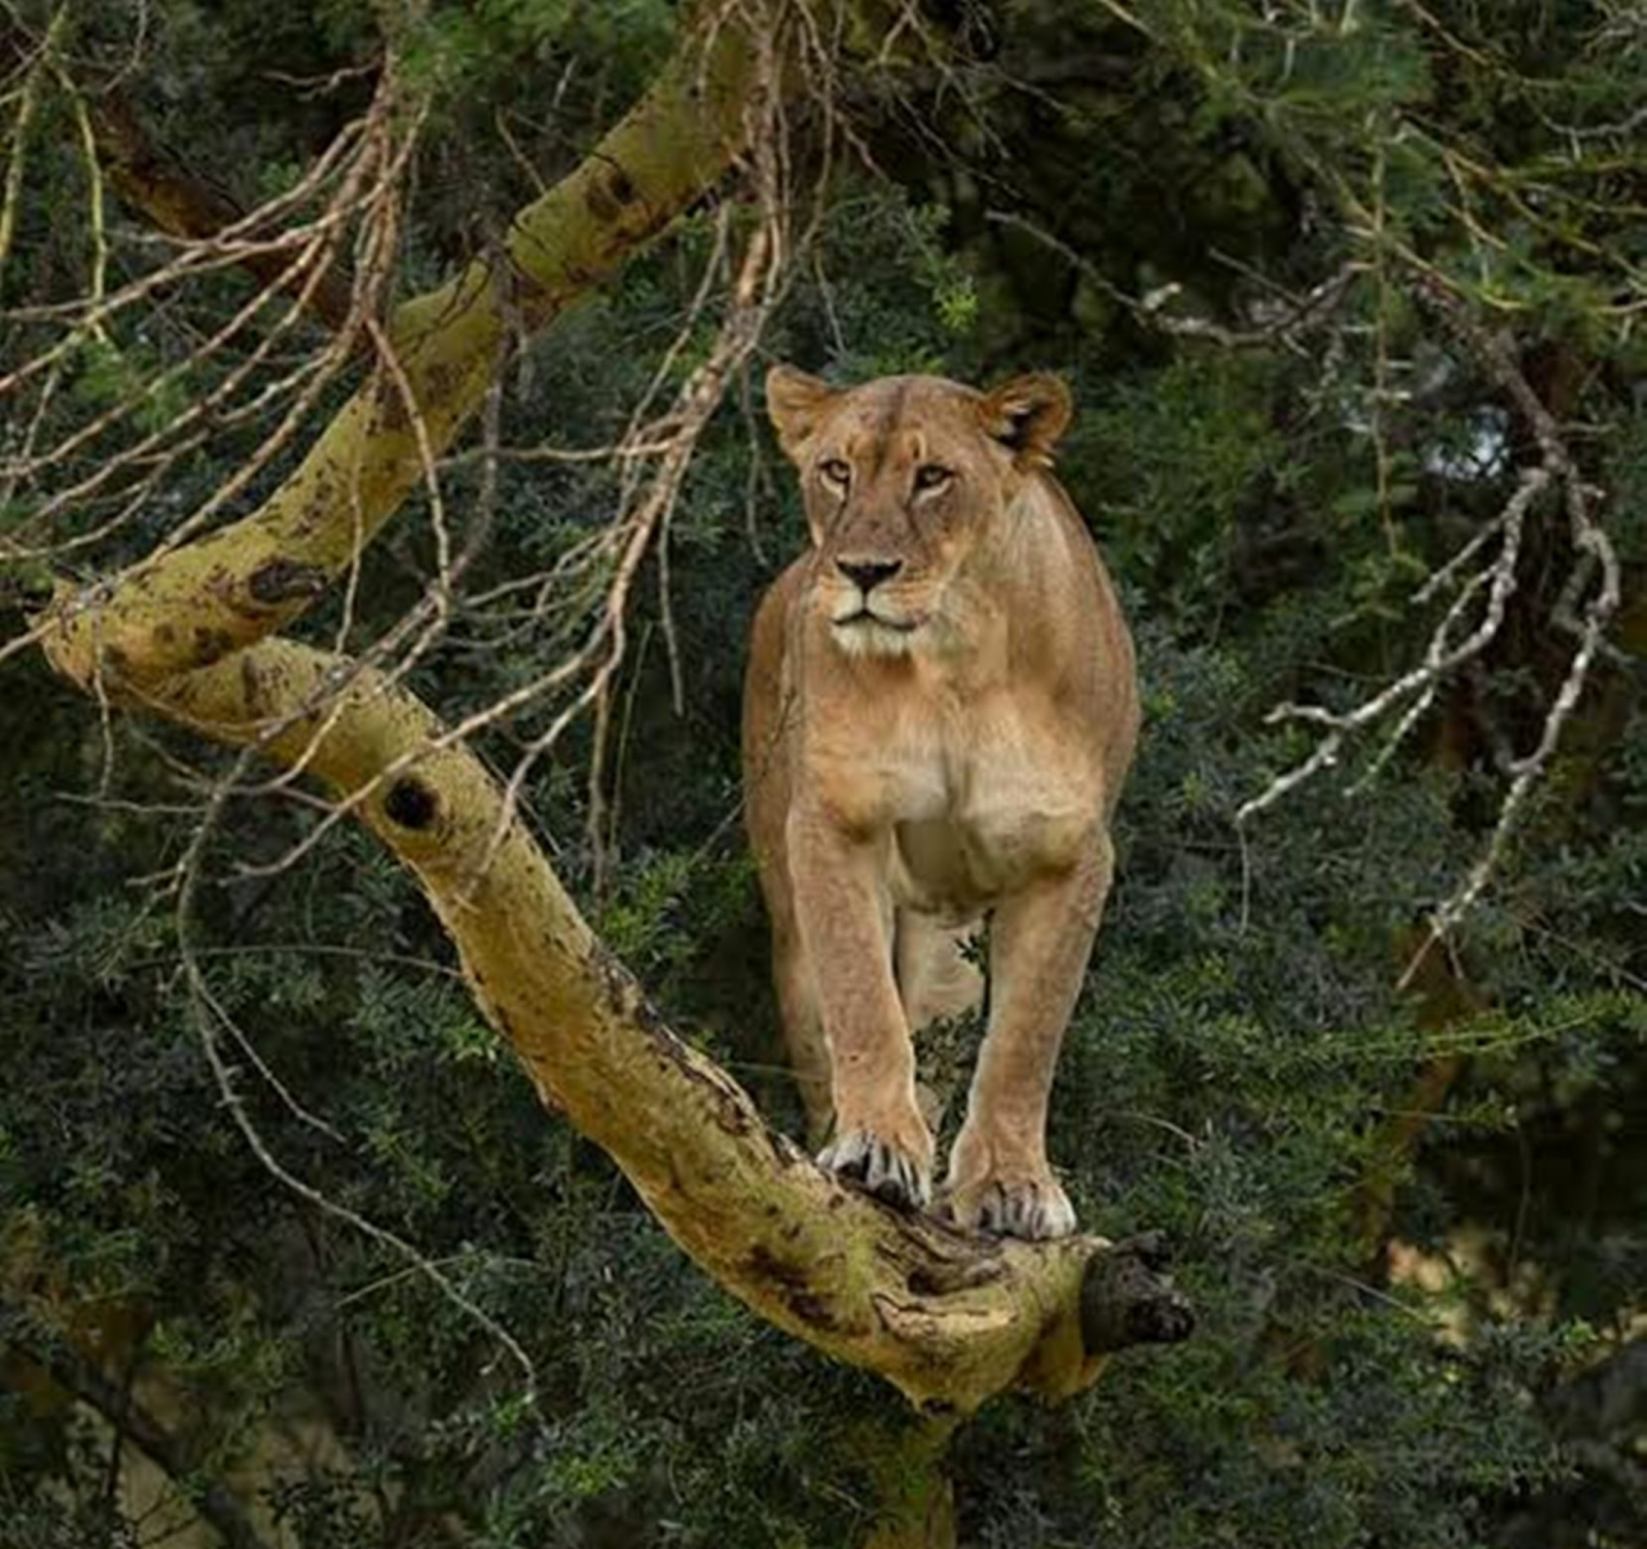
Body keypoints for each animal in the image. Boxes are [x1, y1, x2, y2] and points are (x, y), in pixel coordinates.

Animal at [741, 365, 1138, 1241]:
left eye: (932, 477)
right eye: (836, 470)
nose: (862, 570)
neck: (955, 663)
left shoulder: (1069, 856)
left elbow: (1024, 1039)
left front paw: (1013, 1186)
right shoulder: (834, 820)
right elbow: (862, 1001)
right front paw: (875, 1151)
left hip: (946, 948)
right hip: (790, 919)